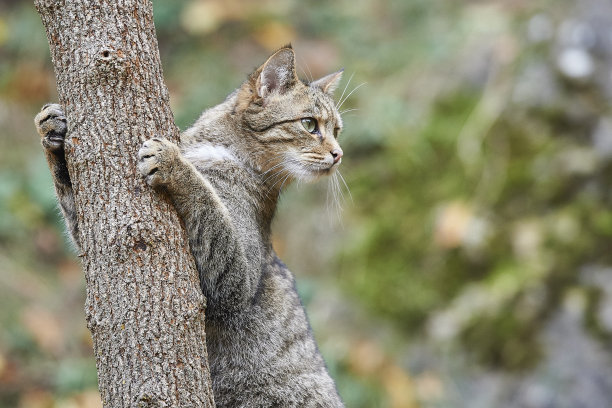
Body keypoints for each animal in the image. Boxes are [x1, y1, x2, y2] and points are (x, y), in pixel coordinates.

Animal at [35, 46, 346, 406]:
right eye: (310, 124)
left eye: (336, 130)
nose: (339, 153)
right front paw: (52, 131)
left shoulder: (235, 284)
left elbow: (205, 200)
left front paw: (174, 163)